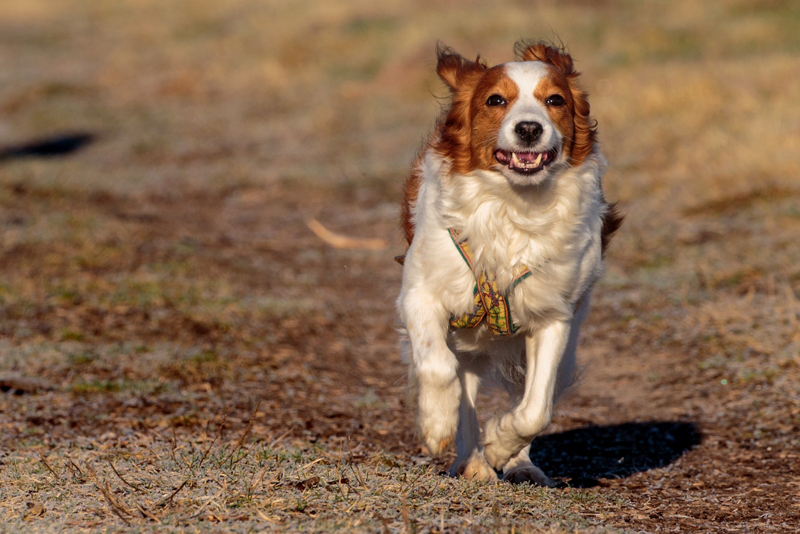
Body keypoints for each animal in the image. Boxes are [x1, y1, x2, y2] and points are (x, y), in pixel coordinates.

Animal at [396, 42, 620, 486]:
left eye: (555, 100)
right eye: (496, 100)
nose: (529, 129)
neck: (514, 206)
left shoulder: (554, 318)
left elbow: (536, 410)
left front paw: (501, 443)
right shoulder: (419, 295)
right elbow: (437, 365)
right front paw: (436, 425)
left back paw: (517, 464)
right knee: (462, 380)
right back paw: (471, 462)